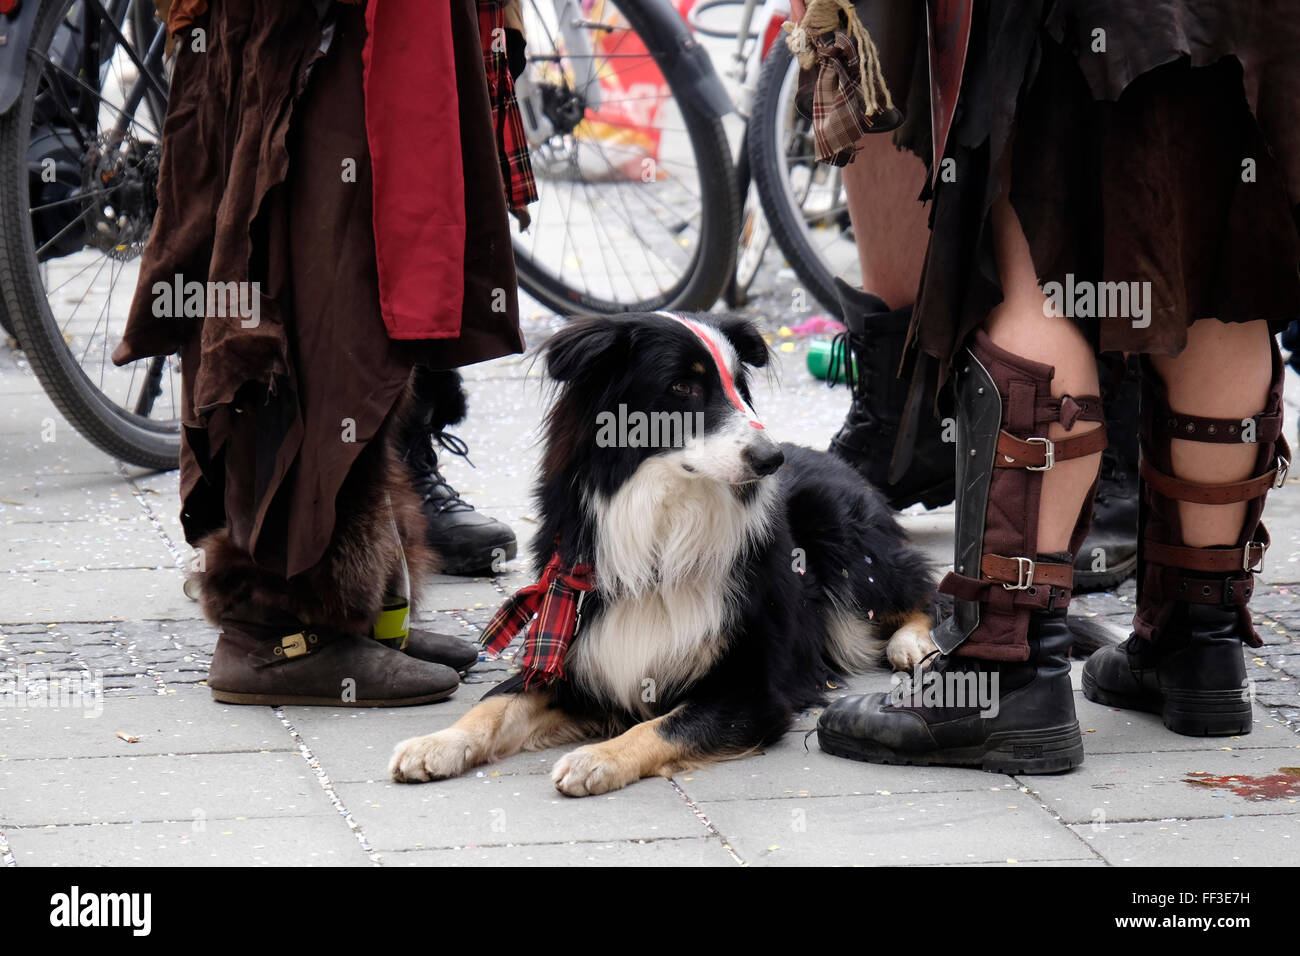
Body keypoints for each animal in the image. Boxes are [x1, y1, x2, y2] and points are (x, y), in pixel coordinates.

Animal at [384, 312, 935, 790]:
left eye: (738, 385)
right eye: (682, 387)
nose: (771, 459)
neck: (663, 523)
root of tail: (836, 460)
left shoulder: (752, 691)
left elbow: (663, 725)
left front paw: (595, 759)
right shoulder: (576, 656)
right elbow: (494, 704)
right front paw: (436, 743)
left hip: (841, 536)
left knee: (921, 589)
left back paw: (913, 645)